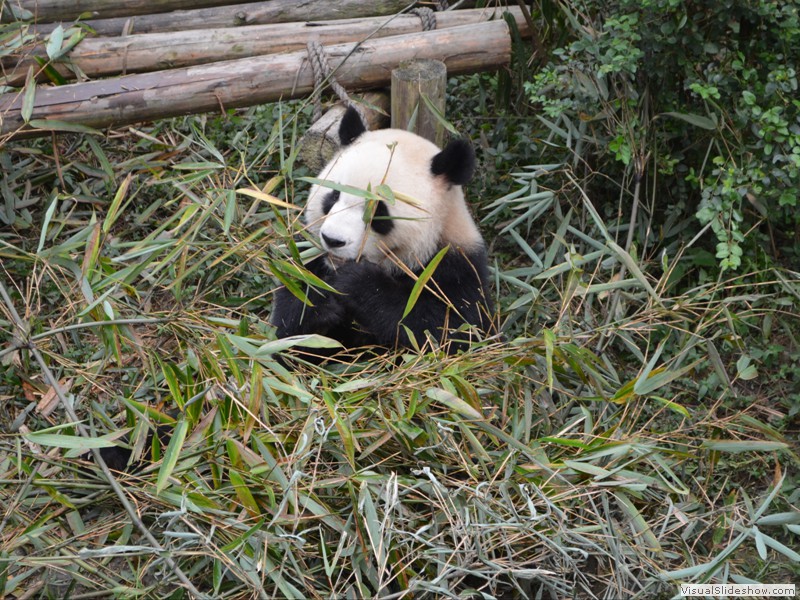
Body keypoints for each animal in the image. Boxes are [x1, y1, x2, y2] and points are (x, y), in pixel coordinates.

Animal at [270, 106, 494, 358]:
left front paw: (356, 282)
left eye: (378, 211)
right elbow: (286, 333)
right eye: (334, 196)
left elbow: (453, 331)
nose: (332, 240)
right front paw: (320, 304)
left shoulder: (457, 266)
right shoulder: (306, 255)